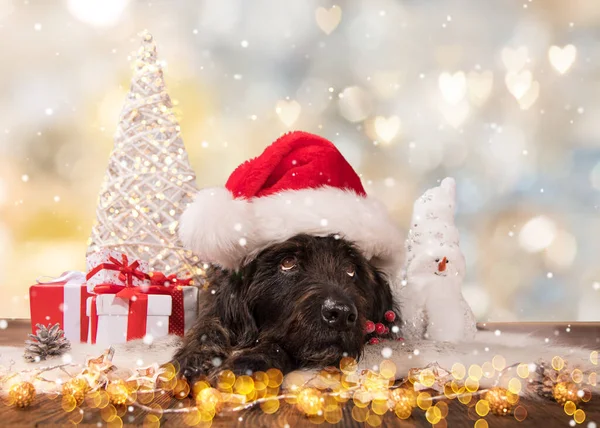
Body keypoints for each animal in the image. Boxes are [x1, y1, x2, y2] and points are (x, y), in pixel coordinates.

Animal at [173, 232, 398, 382]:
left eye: (351, 269)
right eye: (288, 262)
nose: (341, 313)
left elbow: (279, 347)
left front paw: (247, 362)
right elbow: (207, 324)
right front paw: (196, 355)